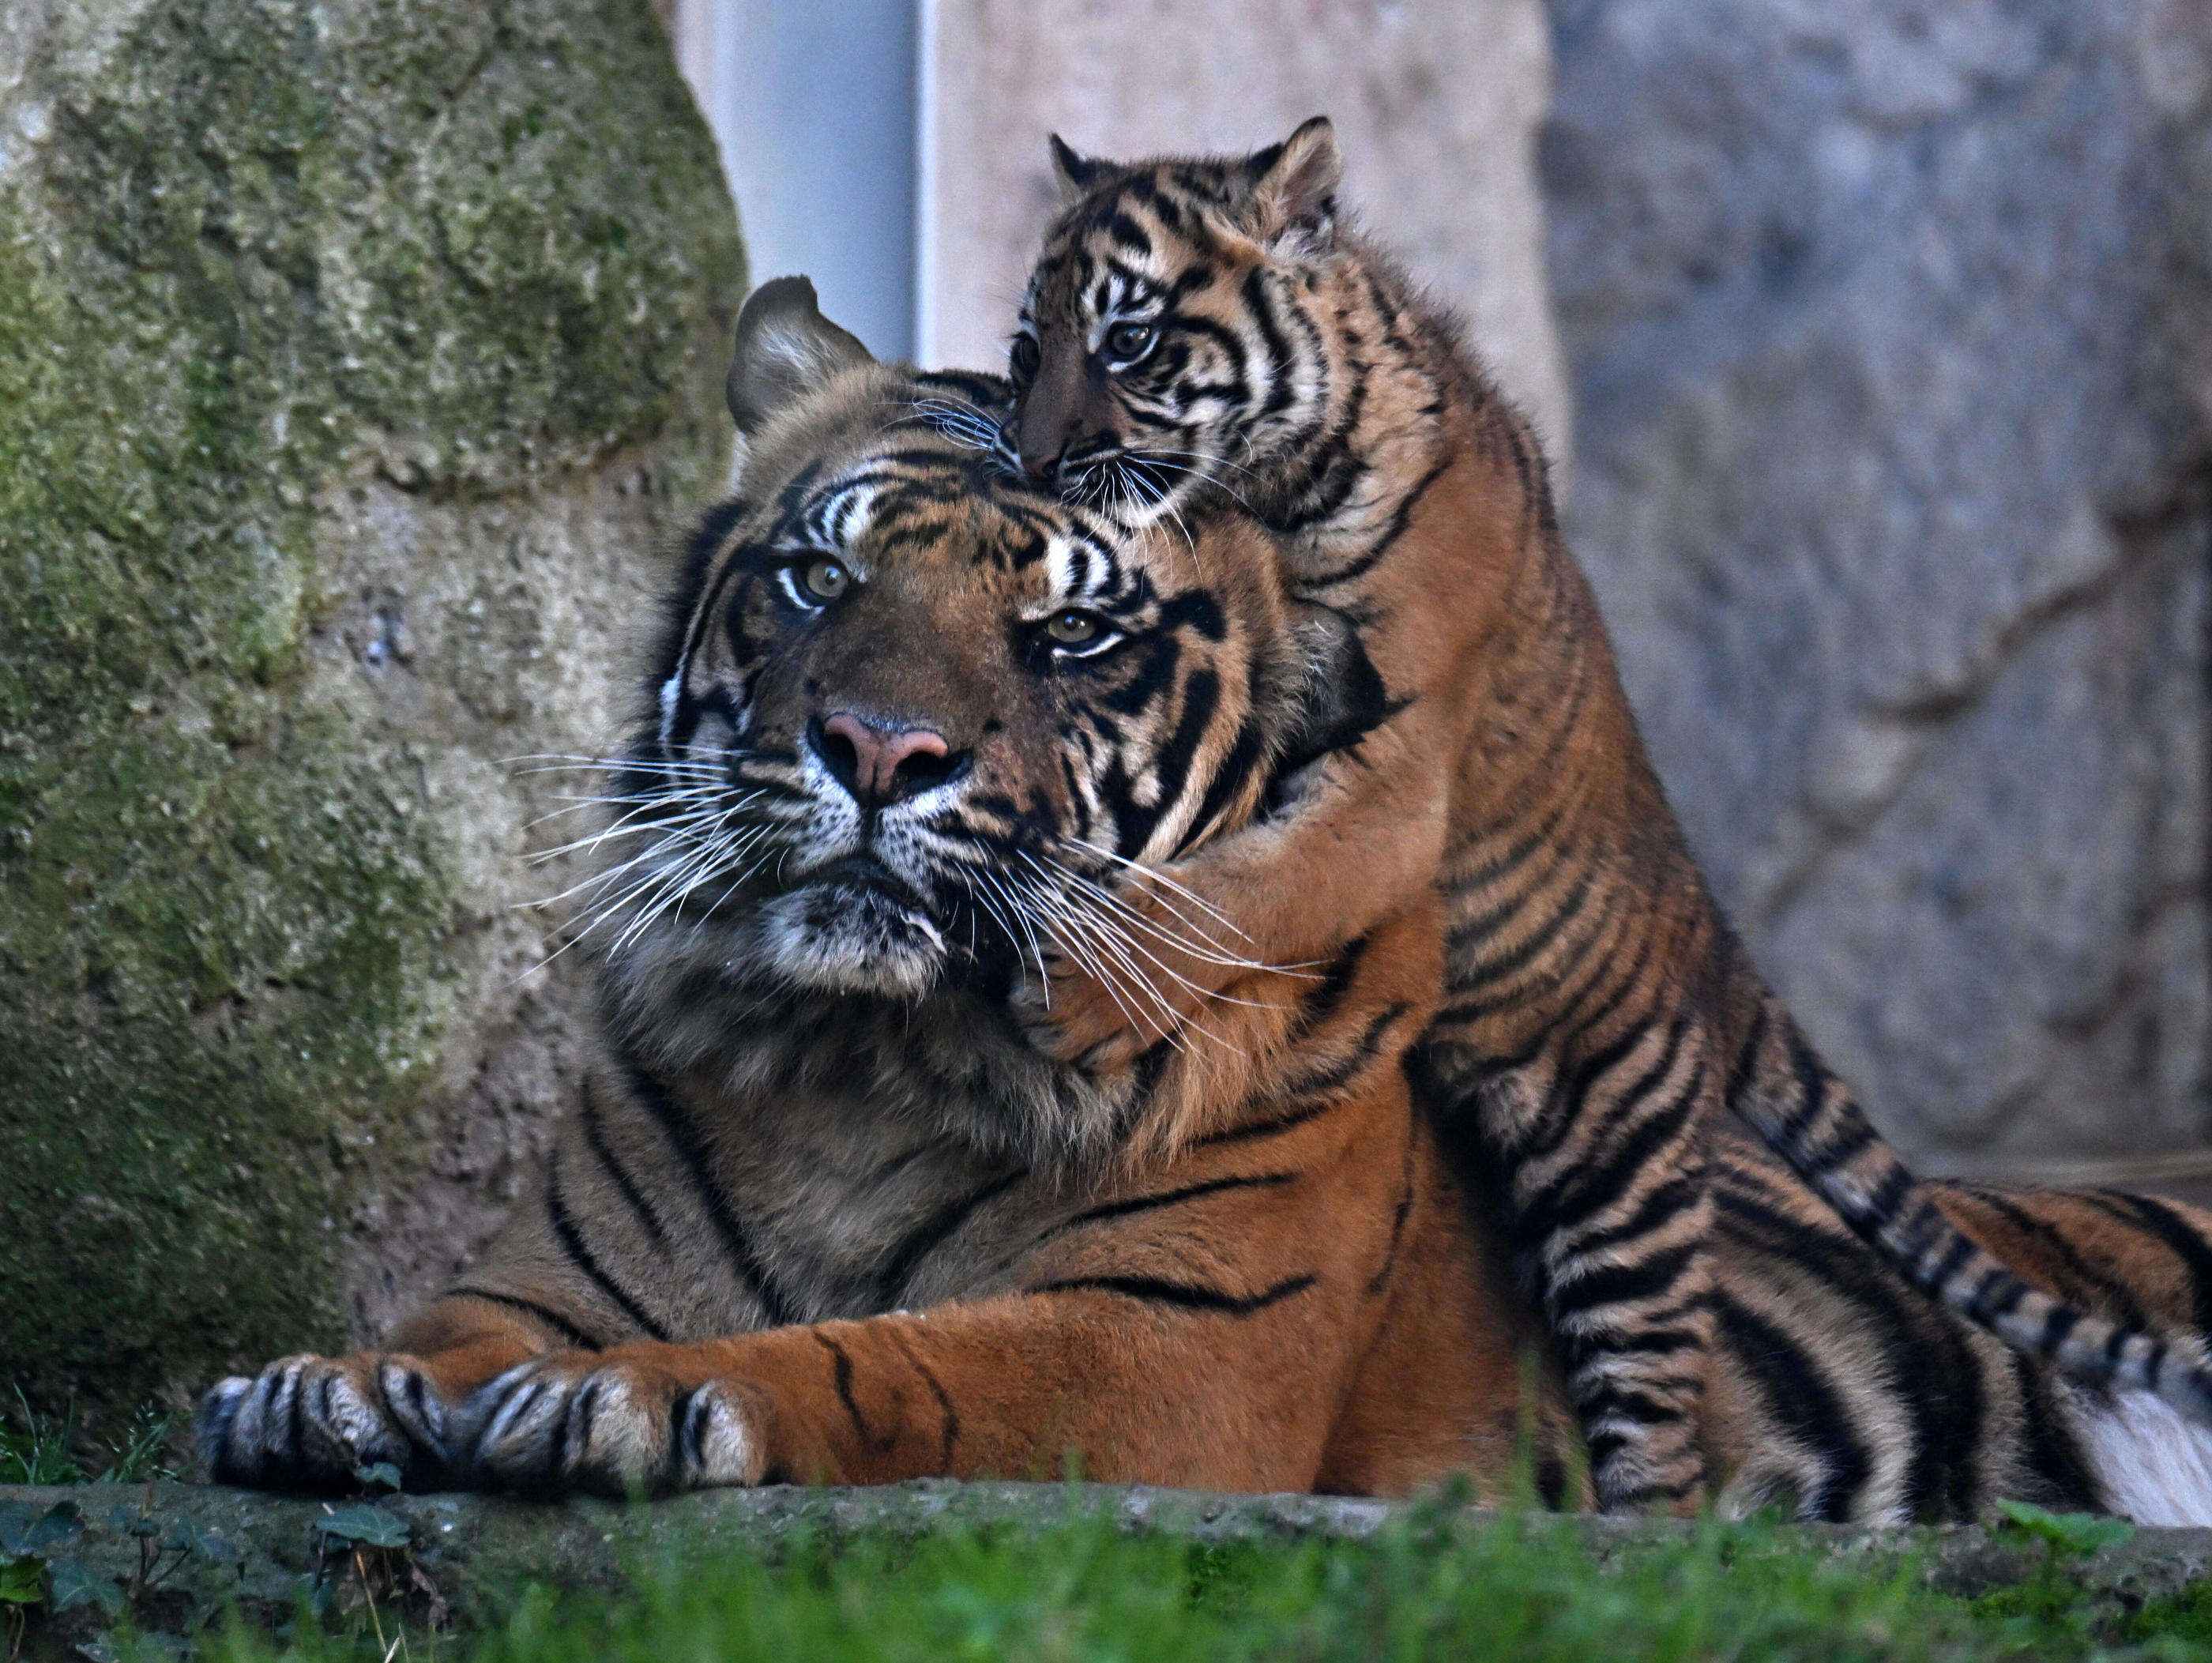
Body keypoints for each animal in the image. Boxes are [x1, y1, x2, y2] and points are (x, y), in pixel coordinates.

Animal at [199, 283, 2212, 1521]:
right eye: (814, 576)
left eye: (1071, 633)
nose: (875, 747)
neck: (863, 1070)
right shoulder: (539, 1270)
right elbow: (445, 1330)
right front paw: (332, 1384)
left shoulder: (1170, 1342)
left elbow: (891, 1360)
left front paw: (648, 1398)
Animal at [1013, 123, 2212, 1512]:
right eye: (1028, 348)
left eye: (1130, 340)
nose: (1032, 462)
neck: (1271, 489)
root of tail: (1719, 946)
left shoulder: (1396, 779)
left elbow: (1253, 888)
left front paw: (1084, 997)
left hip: (1610, 1167)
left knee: (1666, 1438)